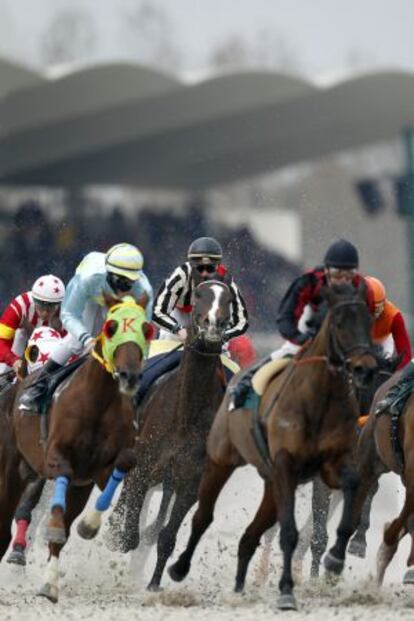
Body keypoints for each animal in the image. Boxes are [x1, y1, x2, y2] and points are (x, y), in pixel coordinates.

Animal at [0, 296, 150, 600]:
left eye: (146, 329)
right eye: (111, 327)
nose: (129, 376)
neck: (98, 404)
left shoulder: (96, 472)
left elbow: (124, 462)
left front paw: (88, 525)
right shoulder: (54, 458)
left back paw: (49, 582)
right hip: (11, 471)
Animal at [108, 278, 234, 588]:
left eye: (229, 299)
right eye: (198, 295)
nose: (214, 325)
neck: (185, 416)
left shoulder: (190, 483)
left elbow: (166, 536)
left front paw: (153, 584)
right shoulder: (143, 468)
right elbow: (130, 534)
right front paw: (116, 536)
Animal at [167, 284, 376, 612]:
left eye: (368, 323)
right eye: (340, 323)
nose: (364, 369)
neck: (319, 398)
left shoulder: (329, 465)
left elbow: (352, 486)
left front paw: (336, 557)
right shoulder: (286, 466)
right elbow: (289, 532)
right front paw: (287, 590)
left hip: (270, 484)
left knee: (250, 535)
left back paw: (240, 587)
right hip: (221, 460)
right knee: (203, 516)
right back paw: (179, 568)